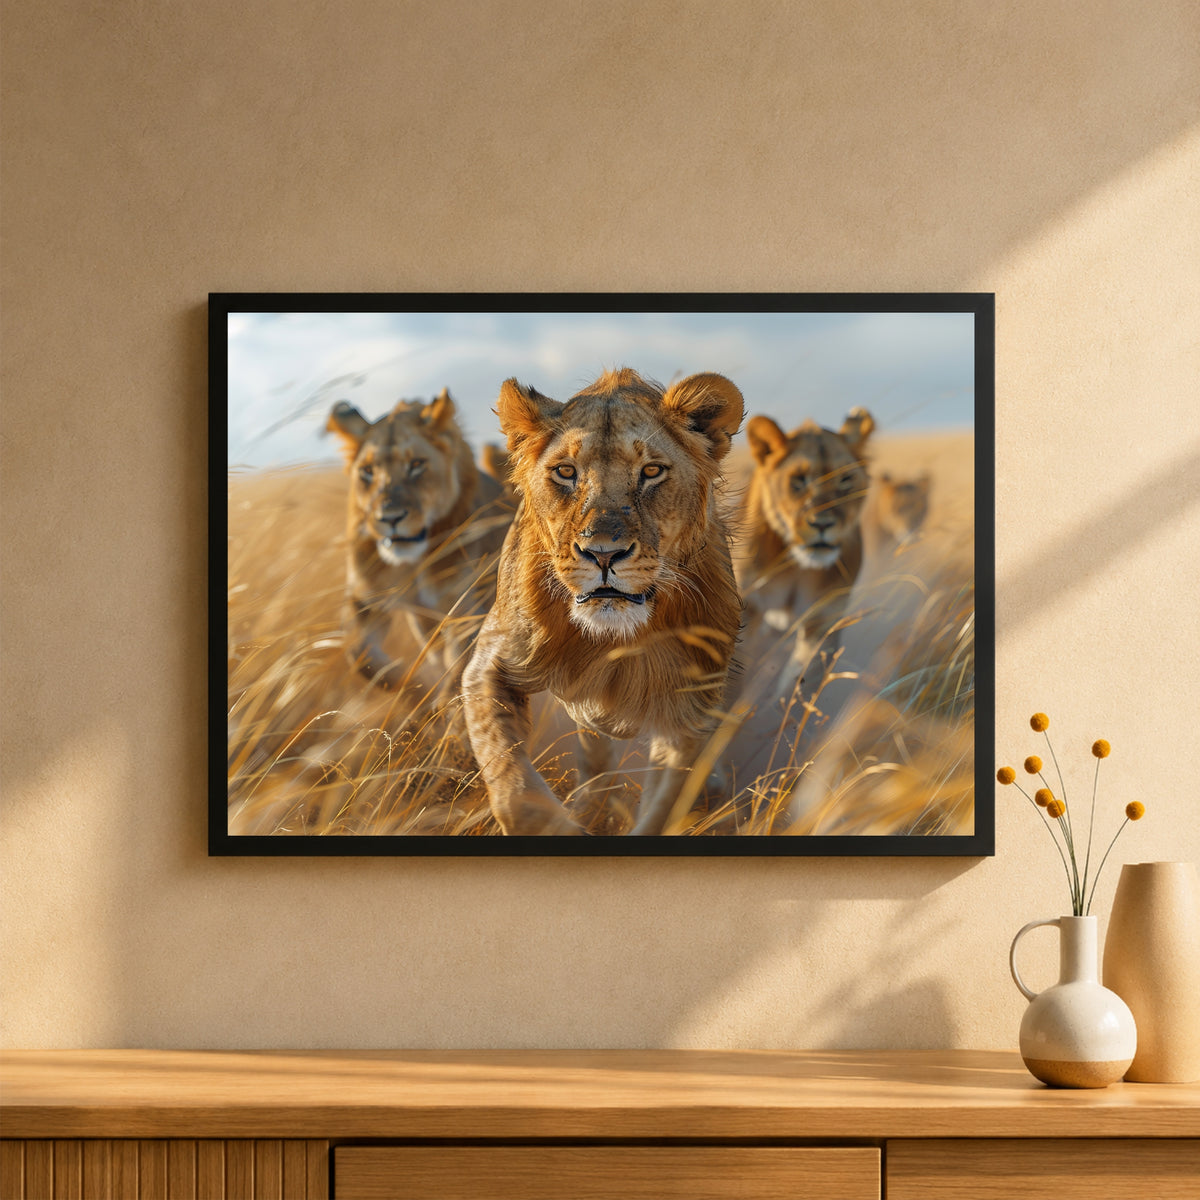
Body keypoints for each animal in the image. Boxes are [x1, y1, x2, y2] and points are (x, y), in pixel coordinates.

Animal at [326, 389, 514, 693]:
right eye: (367, 471)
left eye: (416, 465)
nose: (390, 517)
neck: (411, 564)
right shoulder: (366, 599)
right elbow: (361, 655)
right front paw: (416, 691)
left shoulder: (467, 612)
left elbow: (457, 675)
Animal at [461, 368, 745, 836]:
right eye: (565, 471)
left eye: (651, 471)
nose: (604, 554)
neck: (612, 640)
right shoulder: (491, 662)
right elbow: (515, 790)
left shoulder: (688, 712)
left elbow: (665, 807)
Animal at [735, 408, 874, 686]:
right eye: (798, 480)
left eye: (845, 479)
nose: (822, 523)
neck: (798, 566)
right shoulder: (748, 607)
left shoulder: (824, 619)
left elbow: (801, 683)